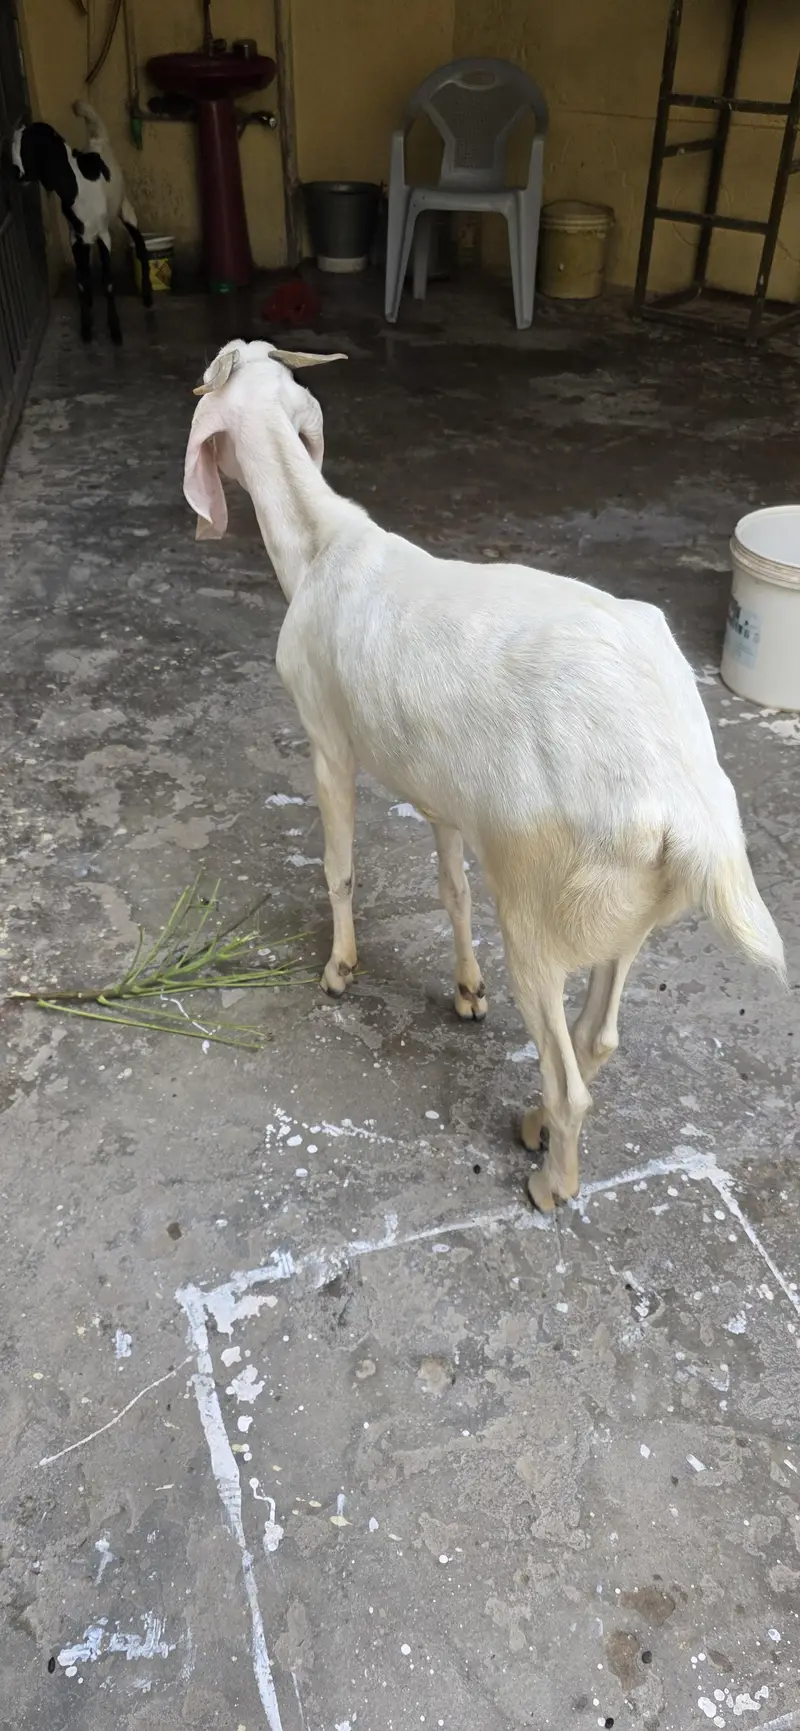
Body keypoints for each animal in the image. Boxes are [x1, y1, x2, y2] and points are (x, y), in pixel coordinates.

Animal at [10, 101, 152, 344]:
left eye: (28, 147)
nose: (15, 173)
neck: (76, 187)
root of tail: (97, 140)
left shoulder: (104, 235)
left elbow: (108, 282)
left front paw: (115, 330)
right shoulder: (75, 238)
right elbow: (81, 281)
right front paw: (86, 328)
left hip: (124, 208)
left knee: (141, 248)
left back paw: (147, 296)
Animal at [183, 339, 786, 1212]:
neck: (322, 546)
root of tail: (690, 808)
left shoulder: (328, 742)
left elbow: (339, 867)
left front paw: (339, 969)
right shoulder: (443, 793)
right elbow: (452, 888)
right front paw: (466, 989)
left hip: (538, 907)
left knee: (571, 1074)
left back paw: (550, 1178)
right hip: (624, 913)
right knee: (597, 1036)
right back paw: (534, 1122)